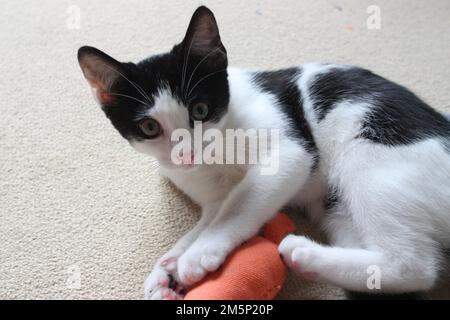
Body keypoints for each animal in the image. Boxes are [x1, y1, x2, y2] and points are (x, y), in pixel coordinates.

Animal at [78, 5, 450, 300]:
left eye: (200, 109)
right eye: (149, 128)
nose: (186, 155)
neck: (218, 152)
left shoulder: (291, 152)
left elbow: (238, 205)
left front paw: (198, 255)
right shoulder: (210, 194)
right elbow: (211, 215)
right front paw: (169, 267)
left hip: (370, 152)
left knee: (414, 266)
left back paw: (301, 250)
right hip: (336, 207)